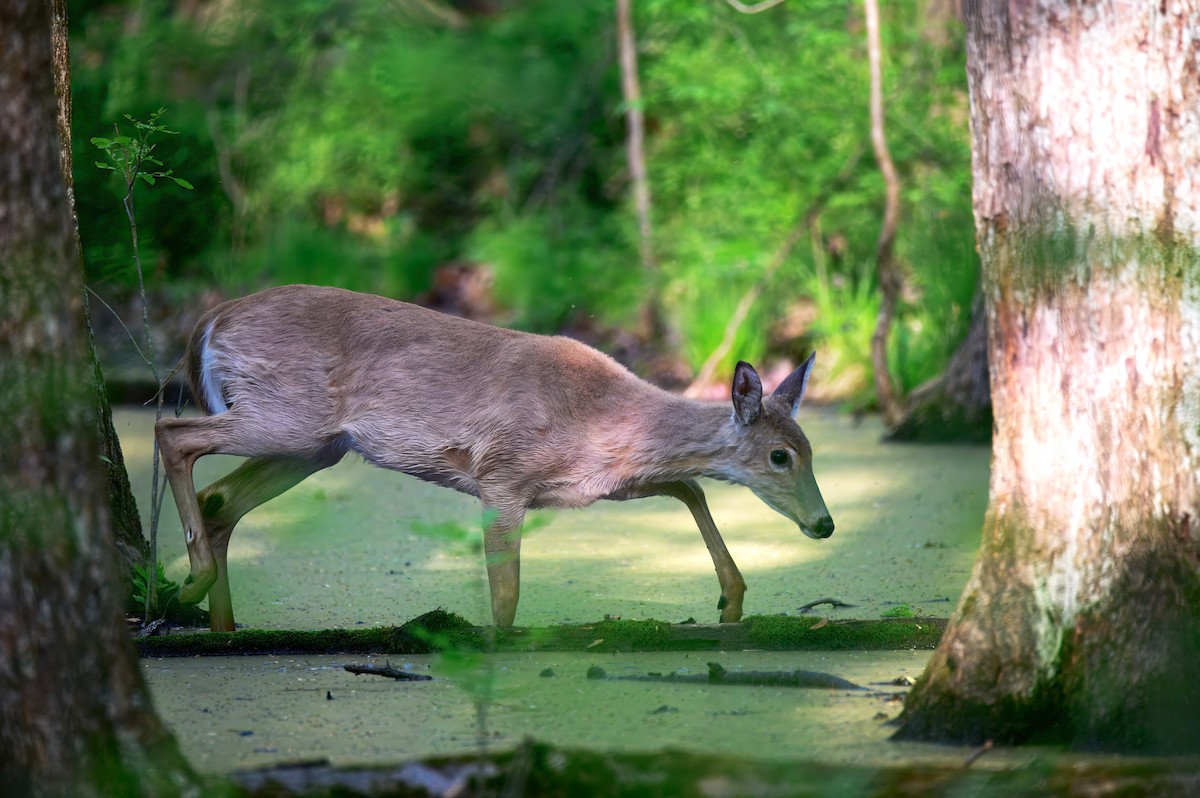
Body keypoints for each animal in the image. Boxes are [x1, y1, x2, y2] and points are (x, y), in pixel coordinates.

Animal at [156, 284, 835, 632]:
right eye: (781, 455)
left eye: (810, 450)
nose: (825, 523)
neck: (600, 419)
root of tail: (208, 322)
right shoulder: (501, 475)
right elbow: (506, 595)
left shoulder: (600, 484)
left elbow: (689, 487)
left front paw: (732, 598)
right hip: (285, 419)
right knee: (172, 432)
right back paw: (191, 582)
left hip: (312, 448)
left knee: (220, 499)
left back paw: (222, 625)